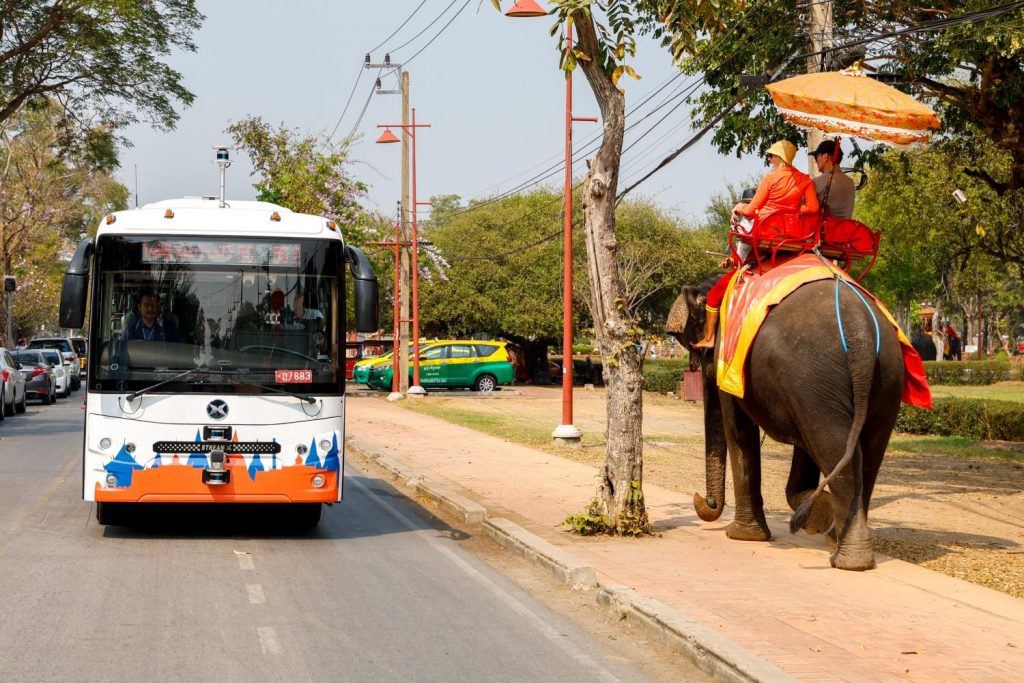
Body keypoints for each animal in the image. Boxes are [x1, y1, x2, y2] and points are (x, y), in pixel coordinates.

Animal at [671, 274, 905, 573]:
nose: (703, 499)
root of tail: (861, 336)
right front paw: (818, 511)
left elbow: (739, 430)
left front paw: (743, 536)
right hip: (885, 379)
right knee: (866, 455)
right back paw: (837, 541)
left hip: (816, 381)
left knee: (836, 450)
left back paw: (849, 560)